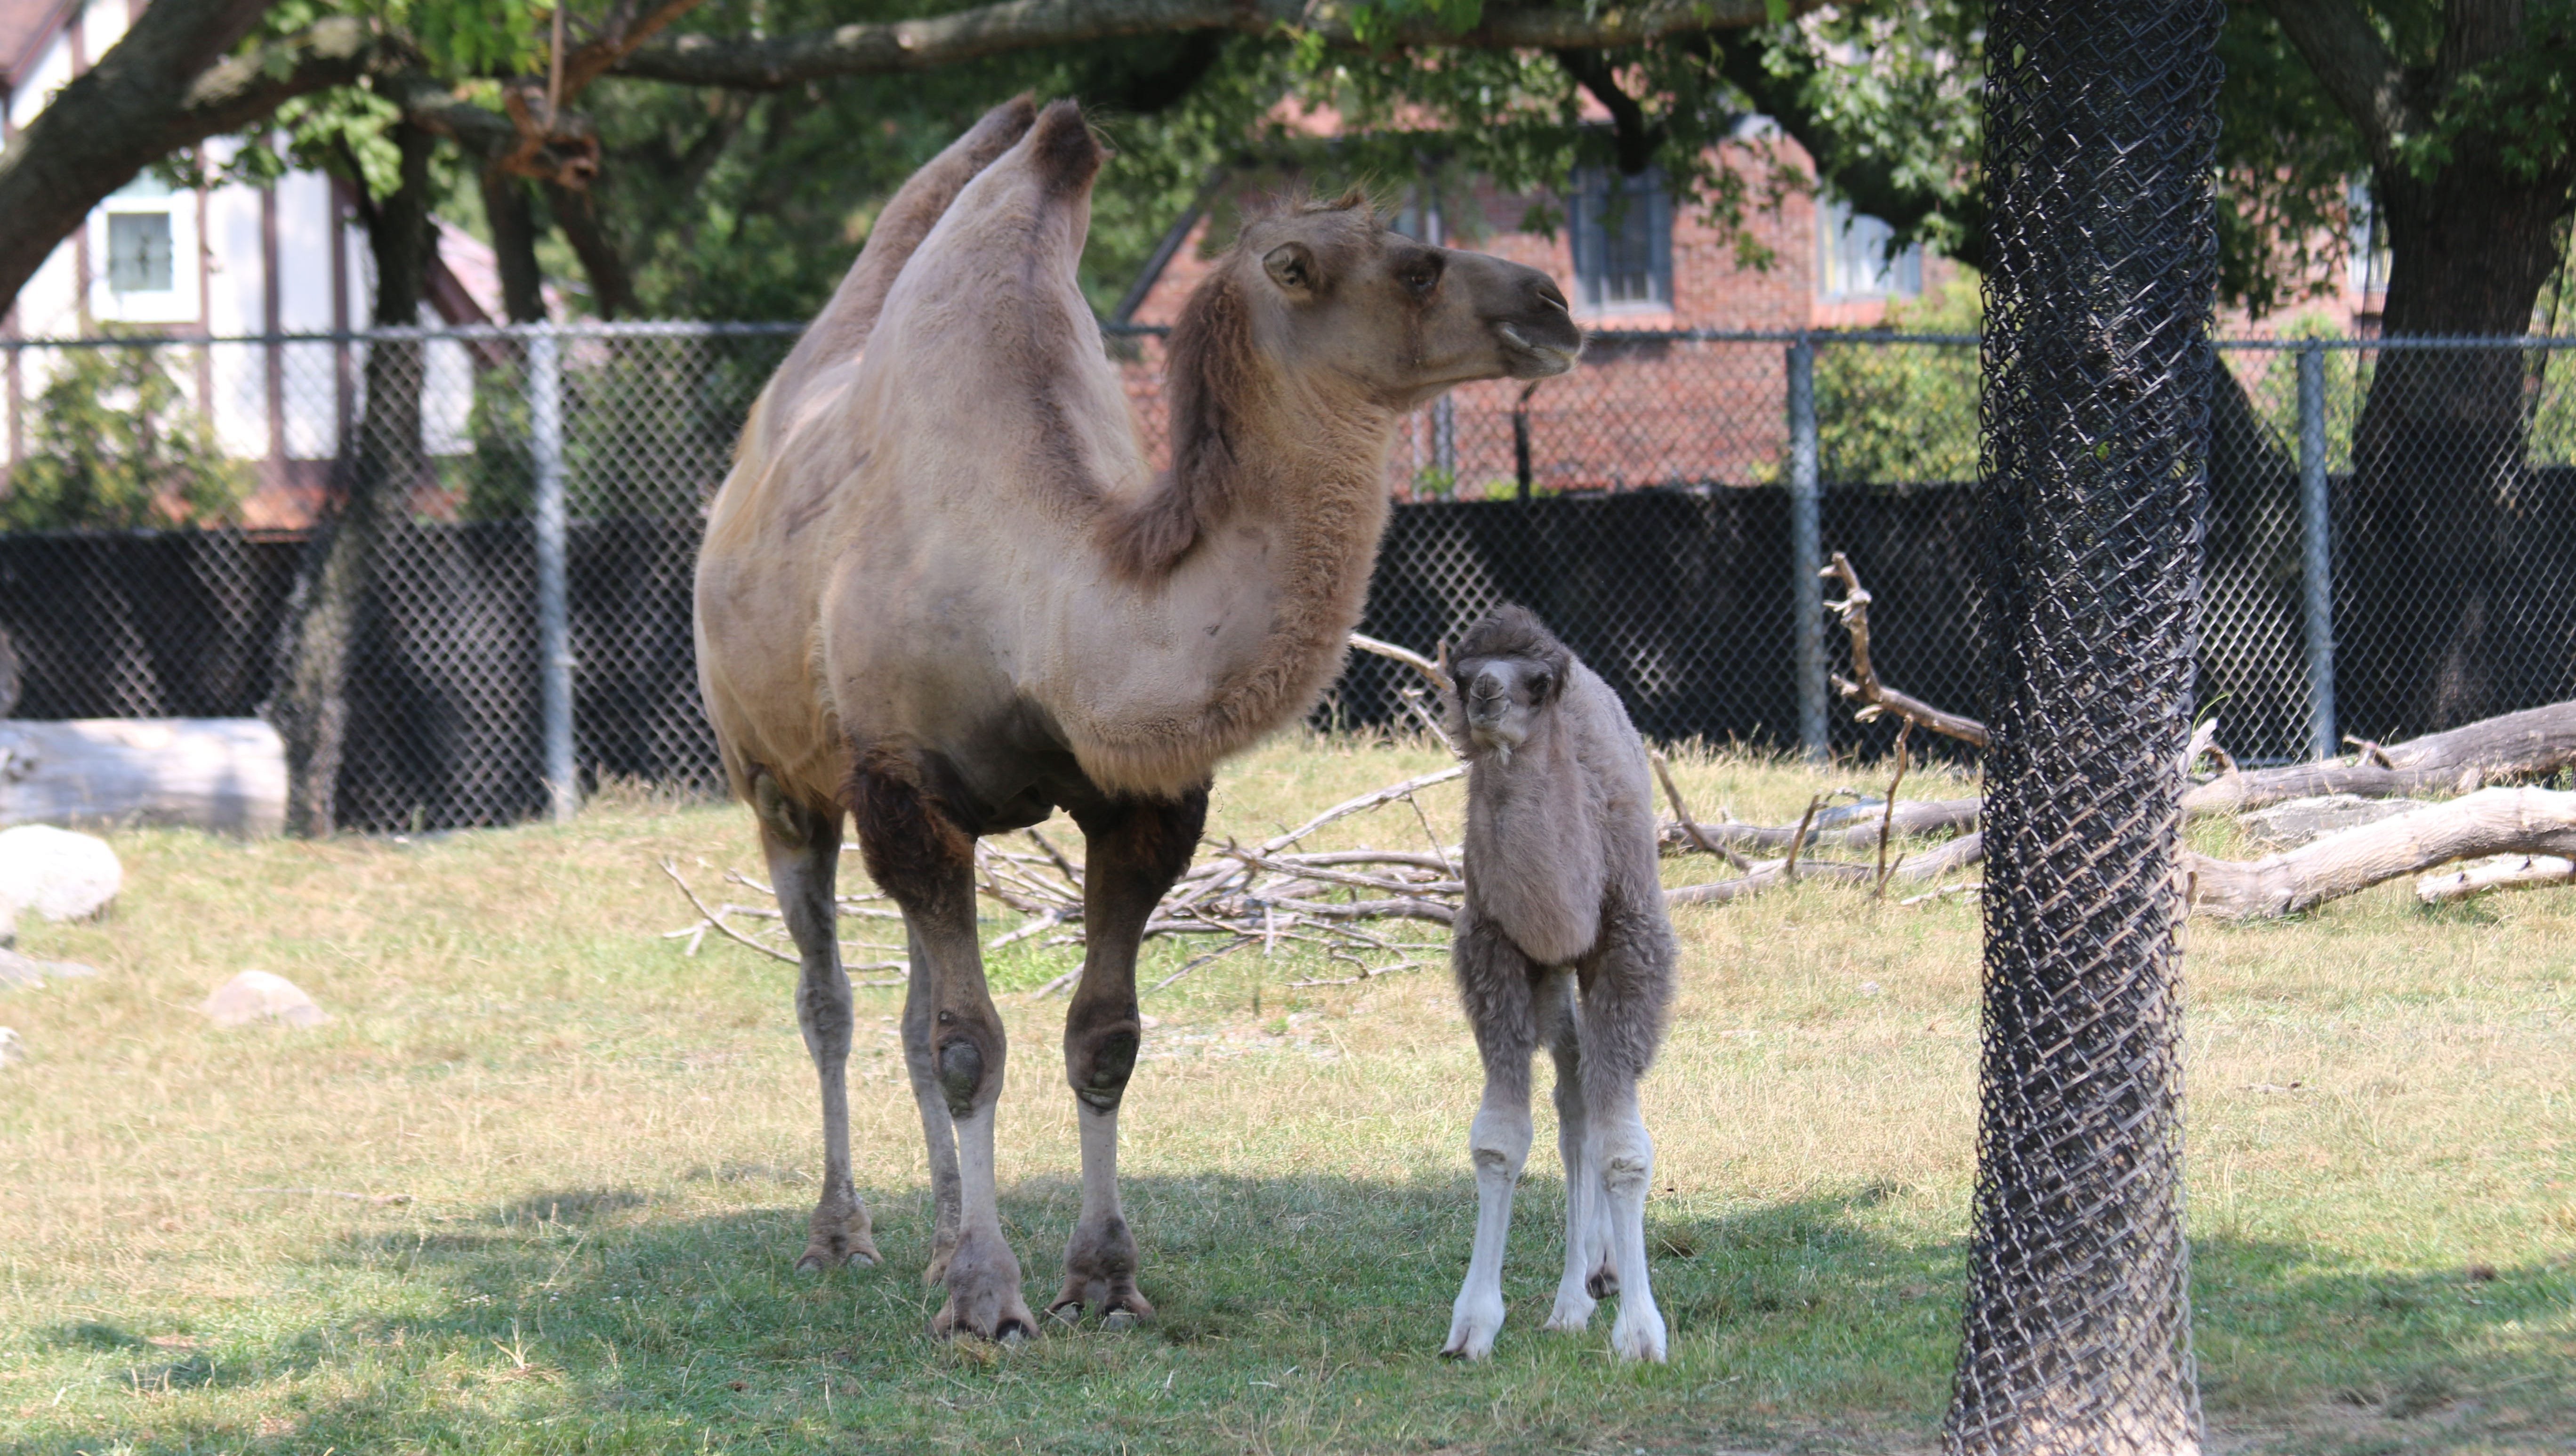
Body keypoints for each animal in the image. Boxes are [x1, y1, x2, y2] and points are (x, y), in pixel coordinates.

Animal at [695, 97, 1576, 1329]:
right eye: (1414, 266)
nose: (1552, 303)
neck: (1046, 600)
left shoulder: (1140, 799)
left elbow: (1100, 1037)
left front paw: (1102, 1279)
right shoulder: (903, 781)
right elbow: (970, 1046)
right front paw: (988, 1300)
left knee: (911, 1012)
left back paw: (936, 1239)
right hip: (778, 783)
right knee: (829, 998)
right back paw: (846, 1237)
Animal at [1442, 606, 1679, 1360]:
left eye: (1538, 683)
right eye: (1461, 674)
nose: (1487, 695)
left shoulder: (1630, 946)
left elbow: (1625, 1149)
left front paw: (1642, 1334)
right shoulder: (1495, 950)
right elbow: (1499, 1138)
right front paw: (1473, 1324)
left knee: (1591, 1093)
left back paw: (1597, 1280)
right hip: (1551, 980)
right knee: (1573, 1091)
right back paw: (1576, 1295)